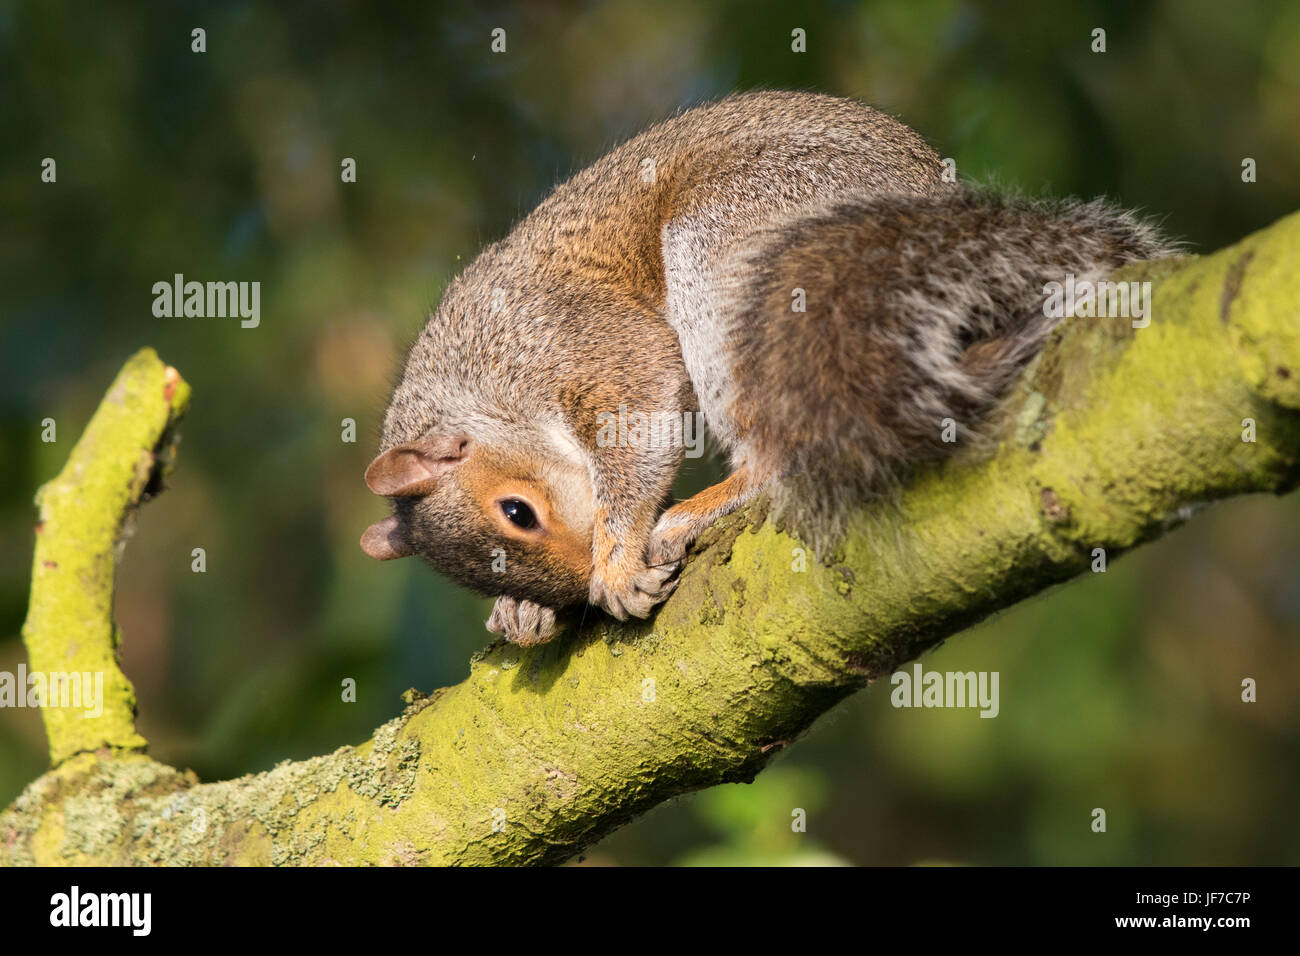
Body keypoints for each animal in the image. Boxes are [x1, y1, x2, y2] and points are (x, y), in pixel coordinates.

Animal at [356, 89, 1180, 647]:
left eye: (517, 512)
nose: (573, 595)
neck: (479, 381)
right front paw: (524, 611)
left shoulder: (584, 343)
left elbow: (637, 420)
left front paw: (614, 564)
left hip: (730, 241)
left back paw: (706, 503)